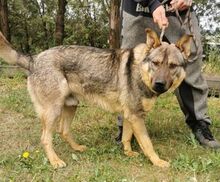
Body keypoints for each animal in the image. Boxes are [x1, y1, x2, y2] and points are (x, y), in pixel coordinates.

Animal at [0, 28, 192, 168]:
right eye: (156, 63)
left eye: (172, 65)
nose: (159, 84)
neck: (141, 71)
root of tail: (34, 59)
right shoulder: (136, 117)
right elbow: (147, 144)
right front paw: (157, 162)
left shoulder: (130, 116)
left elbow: (126, 137)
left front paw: (128, 153)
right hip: (53, 112)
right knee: (46, 139)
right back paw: (55, 161)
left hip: (71, 106)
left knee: (63, 131)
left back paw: (77, 148)